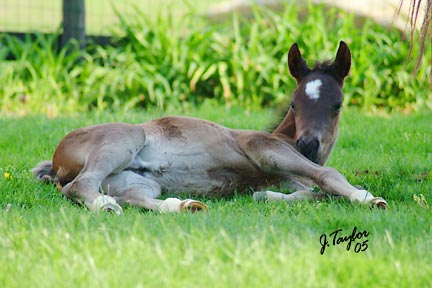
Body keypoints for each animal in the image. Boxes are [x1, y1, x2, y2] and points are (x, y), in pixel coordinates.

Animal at [32, 42, 386, 214]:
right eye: (294, 104)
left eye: (337, 105)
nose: (308, 145)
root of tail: (57, 161)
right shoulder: (264, 148)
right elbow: (328, 178)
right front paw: (367, 198)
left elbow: (311, 193)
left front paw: (266, 196)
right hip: (123, 140)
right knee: (79, 186)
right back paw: (105, 205)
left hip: (134, 181)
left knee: (134, 198)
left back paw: (185, 206)